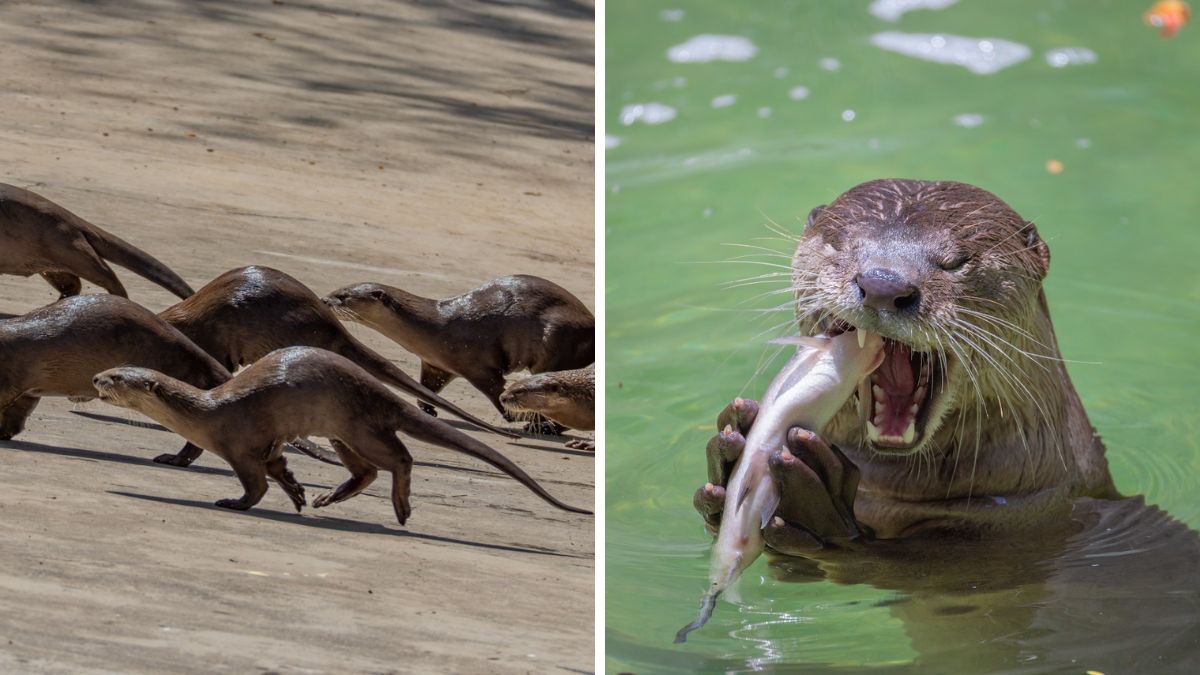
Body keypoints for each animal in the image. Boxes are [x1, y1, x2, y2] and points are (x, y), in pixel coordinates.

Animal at [92, 347, 593, 523]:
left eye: (118, 378)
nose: (97, 377)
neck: (208, 412)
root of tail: (382, 394)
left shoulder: (239, 445)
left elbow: (256, 485)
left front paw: (233, 502)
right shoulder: (271, 445)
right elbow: (281, 468)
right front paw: (298, 493)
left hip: (357, 424)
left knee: (399, 458)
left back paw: (401, 509)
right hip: (340, 432)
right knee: (367, 470)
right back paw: (327, 498)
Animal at [323, 275, 594, 426]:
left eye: (343, 296)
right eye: (335, 291)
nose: (324, 300)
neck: (436, 328)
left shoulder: (476, 365)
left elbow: (495, 391)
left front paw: (513, 416)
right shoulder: (436, 364)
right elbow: (427, 388)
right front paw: (428, 409)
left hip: (558, 343)